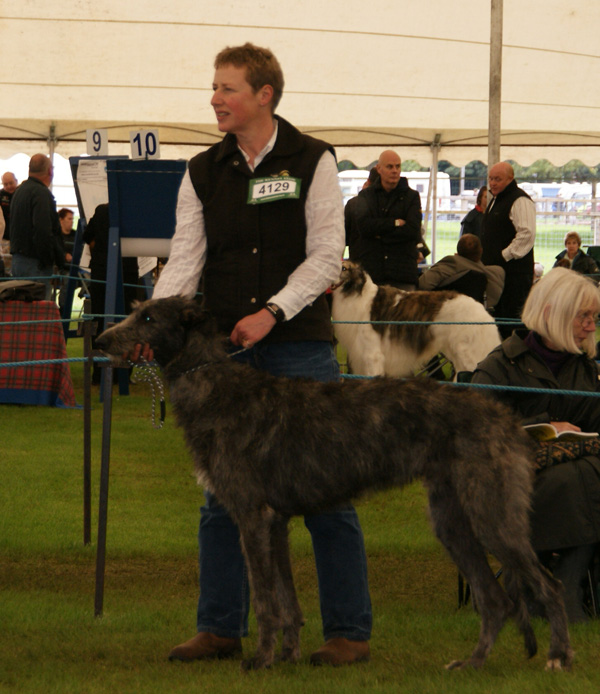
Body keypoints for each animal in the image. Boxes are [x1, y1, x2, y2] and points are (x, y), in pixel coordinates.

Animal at [97, 298, 572, 676]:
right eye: (137, 311)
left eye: (149, 316)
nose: (100, 340)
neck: (217, 386)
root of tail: (508, 419)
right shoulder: (276, 522)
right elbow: (288, 601)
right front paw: (287, 657)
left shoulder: (252, 516)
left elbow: (266, 602)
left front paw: (261, 660)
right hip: (452, 520)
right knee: (495, 600)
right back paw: (473, 664)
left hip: (493, 514)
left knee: (549, 586)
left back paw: (558, 657)